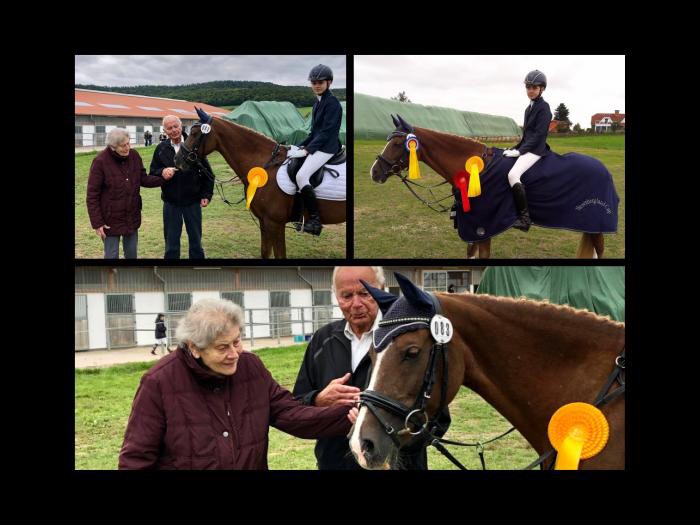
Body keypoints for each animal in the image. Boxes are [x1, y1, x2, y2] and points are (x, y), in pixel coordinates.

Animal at [174, 108, 346, 258]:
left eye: (194, 133)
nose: (177, 160)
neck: (265, 166)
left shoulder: (275, 224)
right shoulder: (264, 222)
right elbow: (265, 252)